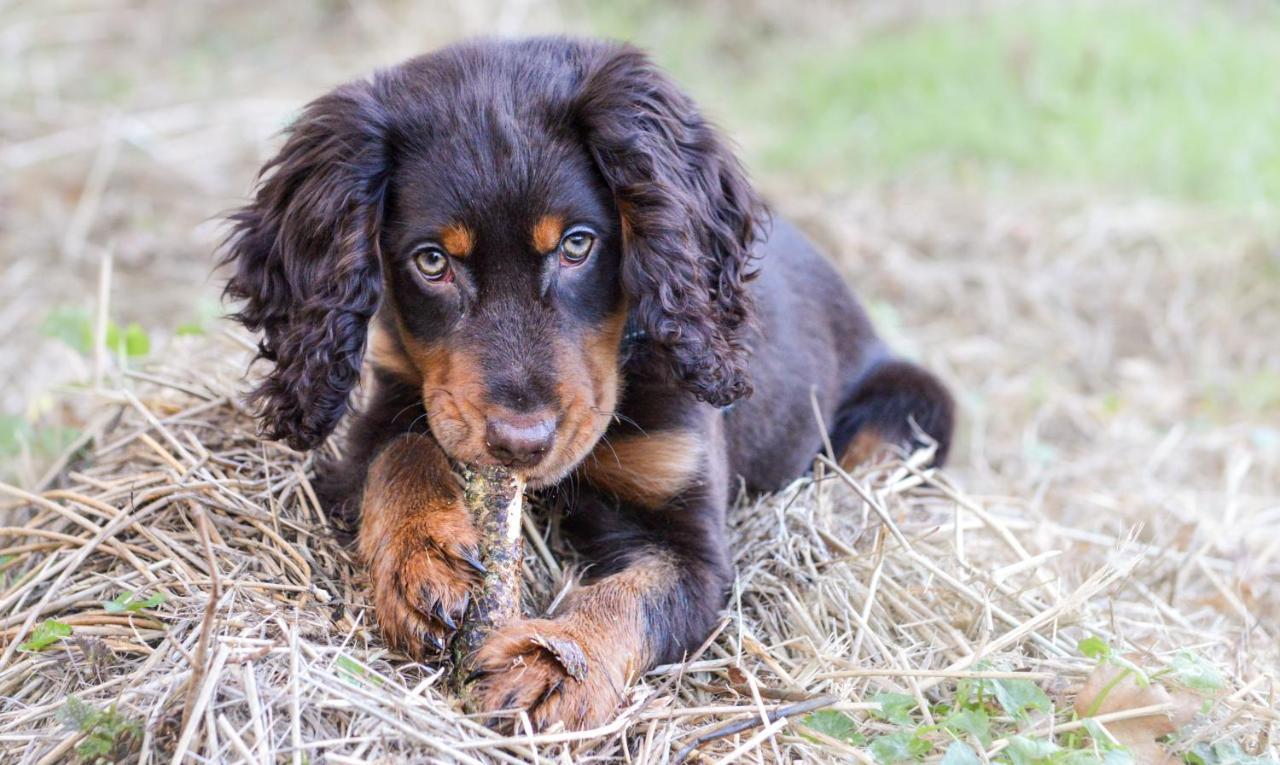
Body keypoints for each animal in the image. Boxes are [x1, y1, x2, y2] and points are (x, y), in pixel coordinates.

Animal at [225, 39, 957, 736]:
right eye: (431, 261)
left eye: (577, 245)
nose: (521, 442)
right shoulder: (392, 404)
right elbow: (400, 451)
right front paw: (422, 554)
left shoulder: (691, 543)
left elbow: (633, 595)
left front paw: (555, 665)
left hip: (915, 406)